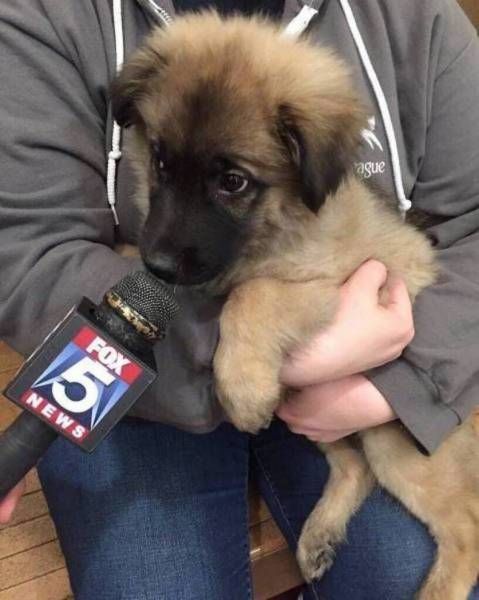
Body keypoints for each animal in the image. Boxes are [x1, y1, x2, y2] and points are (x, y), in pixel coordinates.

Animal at [111, 11, 479, 596]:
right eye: (161, 161)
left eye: (232, 181)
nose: (160, 265)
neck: (275, 224)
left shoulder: (338, 285)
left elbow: (251, 294)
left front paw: (241, 387)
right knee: (355, 468)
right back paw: (318, 536)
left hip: (396, 440)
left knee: (466, 532)